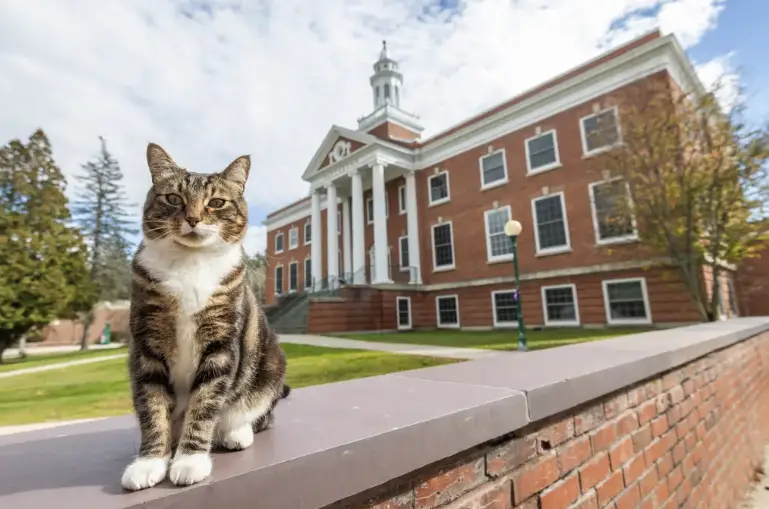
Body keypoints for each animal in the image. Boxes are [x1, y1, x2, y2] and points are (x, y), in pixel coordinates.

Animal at [121, 142, 290, 488]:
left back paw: (236, 432)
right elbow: (152, 405)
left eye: (216, 202)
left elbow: (205, 403)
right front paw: (149, 463)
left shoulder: (221, 342)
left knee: (260, 414)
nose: (194, 218)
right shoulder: (147, 343)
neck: (190, 263)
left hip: (270, 365)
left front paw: (190, 460)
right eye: (174, 198)